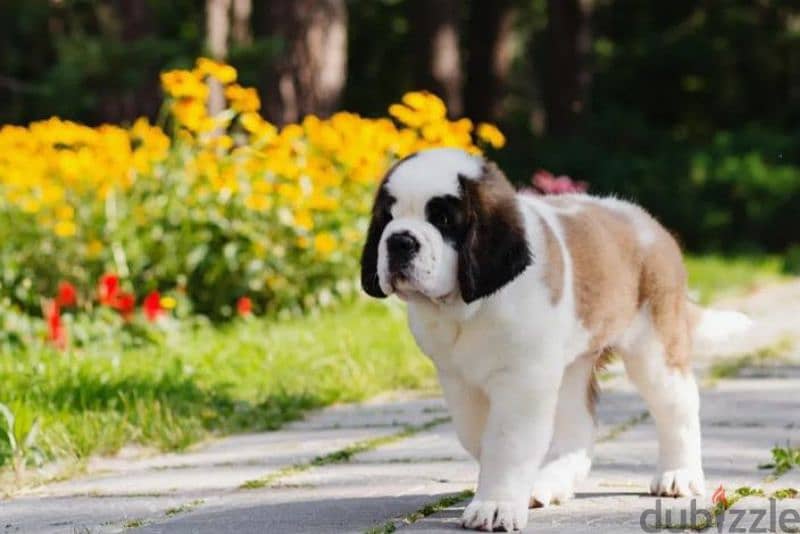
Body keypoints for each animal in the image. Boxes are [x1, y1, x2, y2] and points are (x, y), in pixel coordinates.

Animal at [360, 148, 752, 532]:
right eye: (388, 217)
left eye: (442, 218)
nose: (399, 240)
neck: (467, 306)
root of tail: (649, 224)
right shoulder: (458, 379)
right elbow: (476, 434)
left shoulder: (524, 380)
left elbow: (507, 442)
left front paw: (496, 506)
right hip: (572, 365)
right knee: (579, 425)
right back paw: (552, 482)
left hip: (654, 348)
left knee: (678, 405)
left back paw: (678, 474)